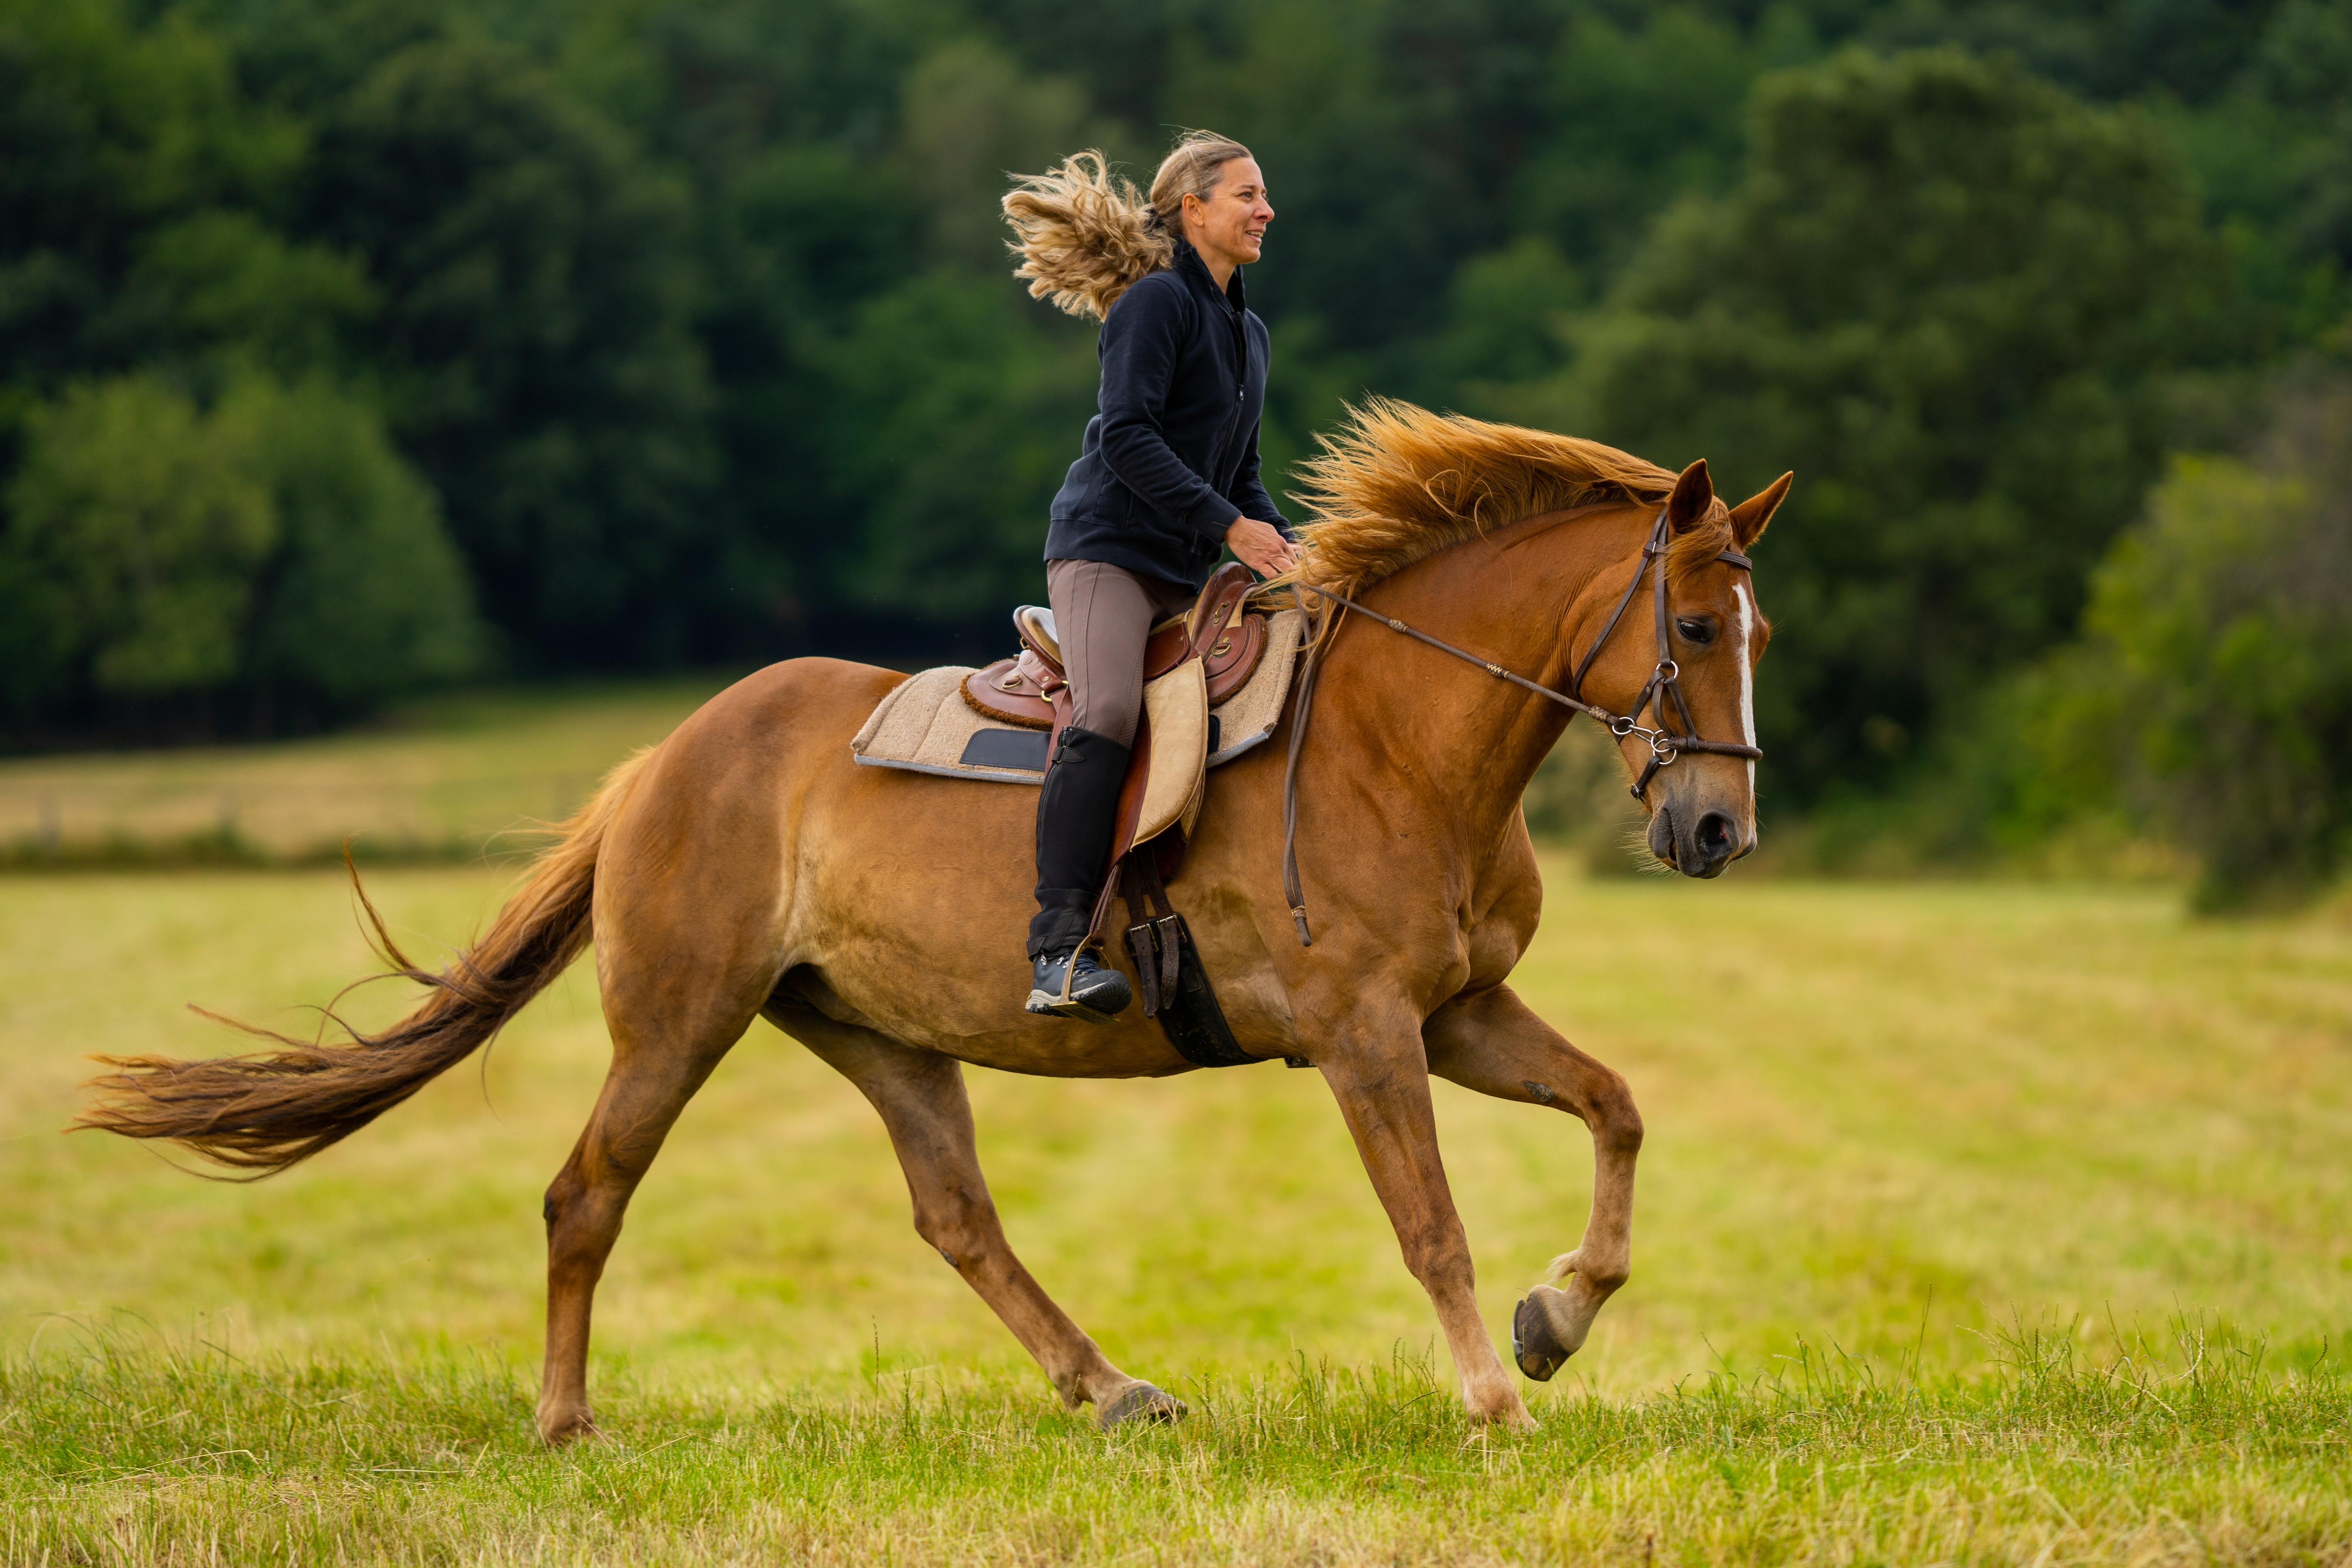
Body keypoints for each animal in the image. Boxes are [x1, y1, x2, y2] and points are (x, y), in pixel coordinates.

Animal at [77, 400, 1788, 1440]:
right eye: (1700, 625)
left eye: (1755, 629)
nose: (1718, 829)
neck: (1400, 737)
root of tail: (664, 758)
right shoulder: (1368, 1033)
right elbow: (1429, 1220)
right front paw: (1498, 1394)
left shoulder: (1458, 1013)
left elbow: (1617, 1108)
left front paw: (1558, 1317)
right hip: (679, 1017)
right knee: (584, 1195)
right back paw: (564, 1419)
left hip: (880, 1035)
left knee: (956, 1216)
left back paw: (1112, 1388)